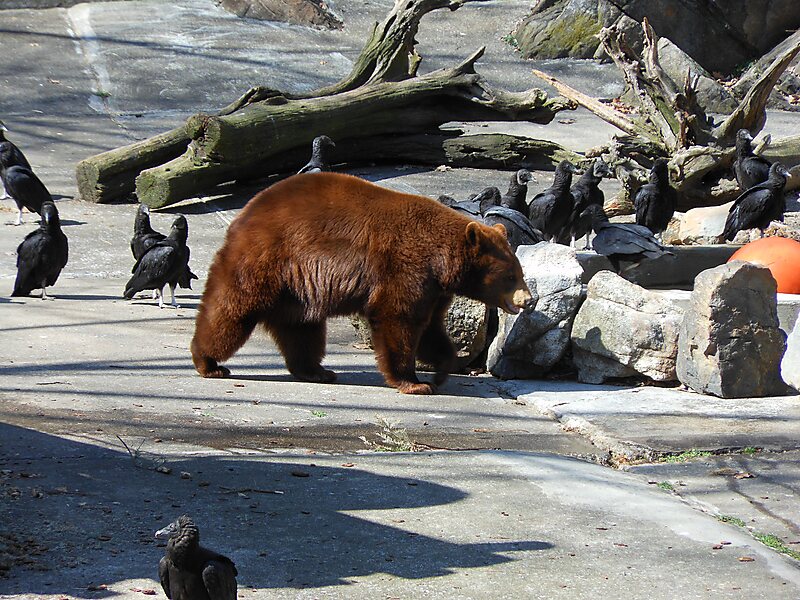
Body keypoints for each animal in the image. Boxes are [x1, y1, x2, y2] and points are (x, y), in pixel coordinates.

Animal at [191, 172, 536, 394]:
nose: (528, 299)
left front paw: (439, 370)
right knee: (232, 311)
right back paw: (208, 362)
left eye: (518, 270)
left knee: (302, 329)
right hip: (268, 261)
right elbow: (399, 319)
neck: (441, 259)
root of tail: (245, 214)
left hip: (297, 289)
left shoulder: (436, 289)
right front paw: (413, 382)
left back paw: (317, 371)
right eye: (510, 276)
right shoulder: (407, 267)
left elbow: (431, 327)